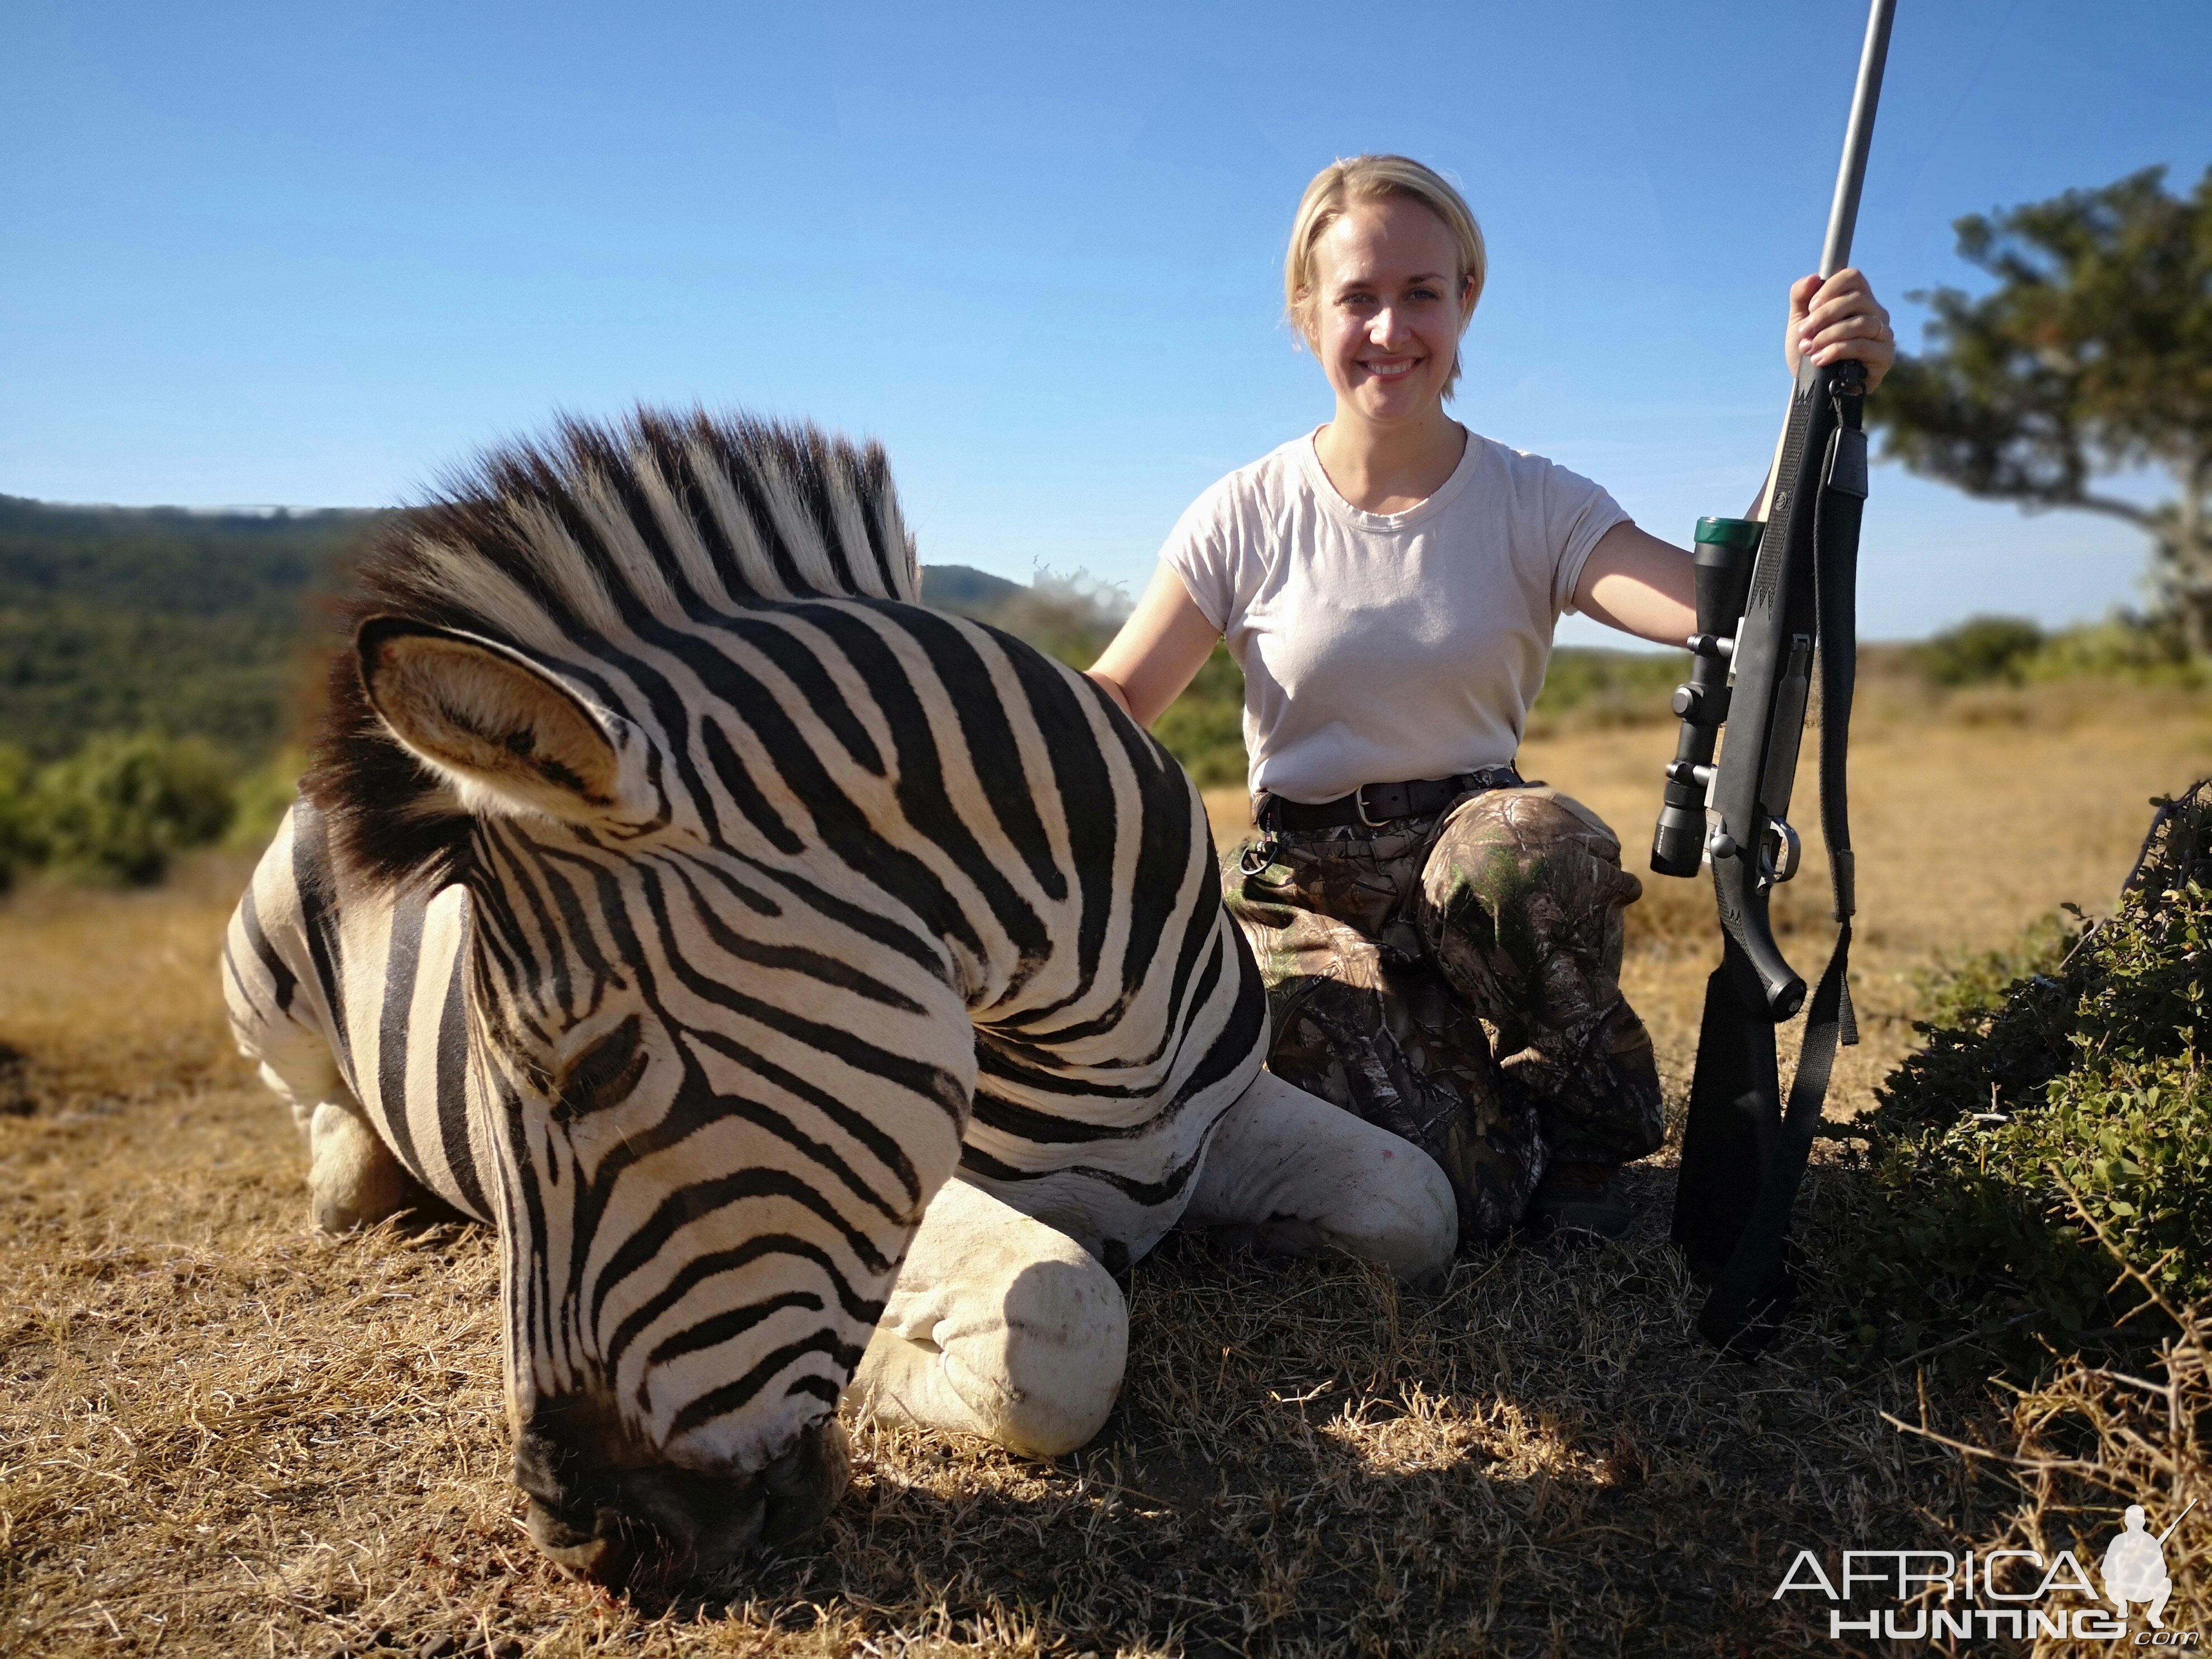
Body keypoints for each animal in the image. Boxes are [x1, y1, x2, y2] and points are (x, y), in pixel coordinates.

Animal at [224, 414, 1451, 1584]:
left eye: (600, 1067)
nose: (588, 1539)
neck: (1113, 1054)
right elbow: (1060, 1328)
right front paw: (886, 1371)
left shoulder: (1224, 1116)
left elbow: (1418, 1196)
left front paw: (1270, 1242)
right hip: (264, 967)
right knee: (317, 1120)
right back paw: (359, 1172)